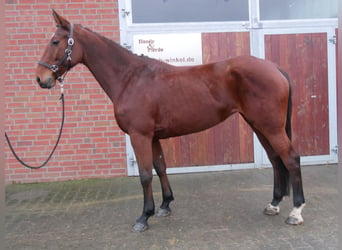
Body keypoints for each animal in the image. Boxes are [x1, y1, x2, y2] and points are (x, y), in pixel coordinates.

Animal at [36, 10, 304, 232]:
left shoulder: (139, 135)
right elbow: (161, 167)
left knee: (291, 158)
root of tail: (275, 68)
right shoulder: (153, 137)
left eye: (55, 41)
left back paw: (296, 211)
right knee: (276, 159)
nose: (41, 78)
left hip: (270, 127)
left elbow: (145, 174)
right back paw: (274, 204)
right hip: (258, 125)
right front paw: (165, 205)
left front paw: (144, 217)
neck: (131, 79)